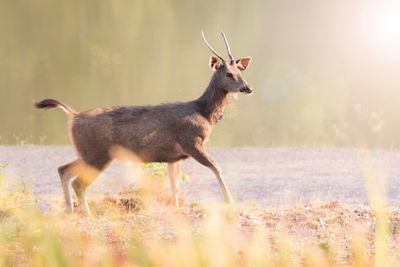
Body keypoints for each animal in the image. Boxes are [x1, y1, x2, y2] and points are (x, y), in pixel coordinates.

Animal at [34, 31, 253, 217]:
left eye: (240, 71)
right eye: (228, 74)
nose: (247, 88)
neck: (205, 113)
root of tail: (75, 116)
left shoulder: (175, 156)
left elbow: (174, 184)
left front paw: (176, 208)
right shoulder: (191, 141)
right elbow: (216, 167)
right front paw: (229, 200)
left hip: (88, 152)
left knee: (63, 169)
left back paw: (69, 209)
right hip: (98, 153)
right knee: (78, 183)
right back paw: (87, 214)